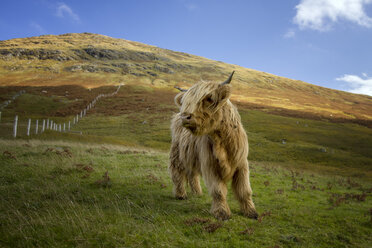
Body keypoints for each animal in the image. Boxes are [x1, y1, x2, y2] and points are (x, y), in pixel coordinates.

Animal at [170, 71, 258, 221]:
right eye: (187, 101)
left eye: (209, 98)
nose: (185, 117)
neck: (222, 141)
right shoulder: (210, 164)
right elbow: (218, 191)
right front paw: (222, 212)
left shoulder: (242, 164)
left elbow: (245, 190)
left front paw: (251, 212)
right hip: (177, 154)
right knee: (177, 172)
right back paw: (181, 194)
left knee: (192, 174)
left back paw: (197, 193)